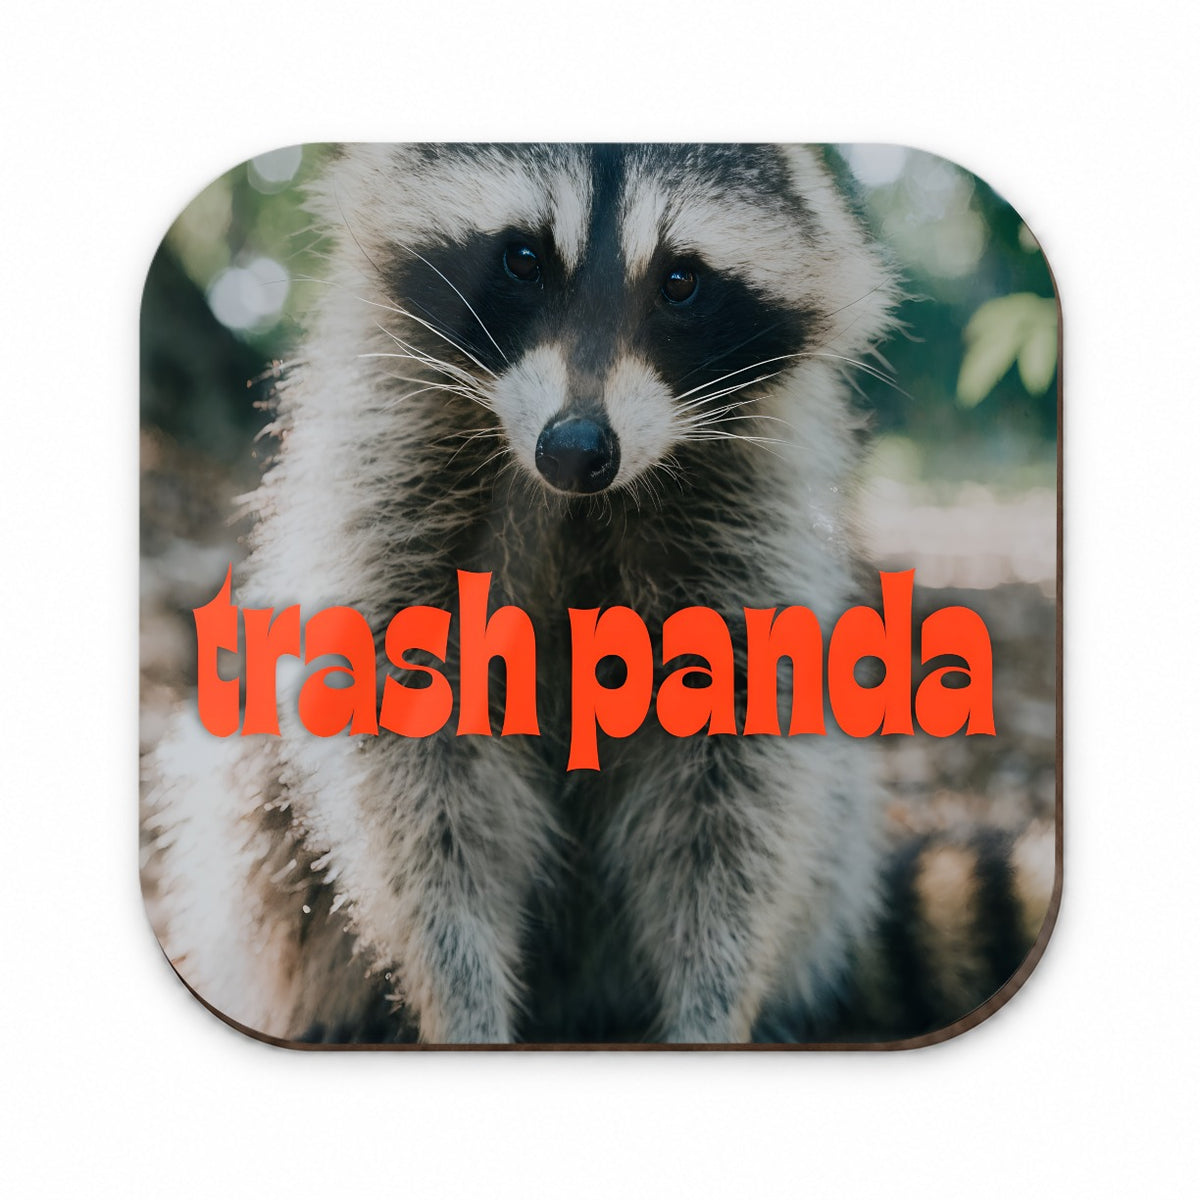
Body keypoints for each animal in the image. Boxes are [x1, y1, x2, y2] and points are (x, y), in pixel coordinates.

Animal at [144, 144, 1053, 1045]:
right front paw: (460, 997)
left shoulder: (749, 527)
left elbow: (734, 783)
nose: (577, 448)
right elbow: (414, 770)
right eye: (523, 258)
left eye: (681, 280)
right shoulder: (389, 478)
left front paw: (712, 1004)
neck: (576, 506)